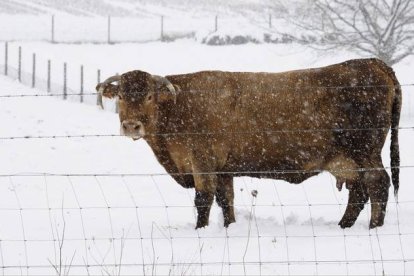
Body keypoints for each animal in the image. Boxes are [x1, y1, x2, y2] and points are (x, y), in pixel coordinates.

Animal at [97, 59, 402, 230]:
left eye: (149, 96)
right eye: (121, 96)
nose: (131, 126)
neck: (179, 106)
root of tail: (373, 63)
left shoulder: (202, 161)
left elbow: (203, 199)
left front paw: (200, 231)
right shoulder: (223, 169)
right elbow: (226, 200)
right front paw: (229, 228)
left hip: (366, 153)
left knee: (378, 184)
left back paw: (373, 228)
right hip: (349, 161)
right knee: (359, 192)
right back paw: (343, 226)